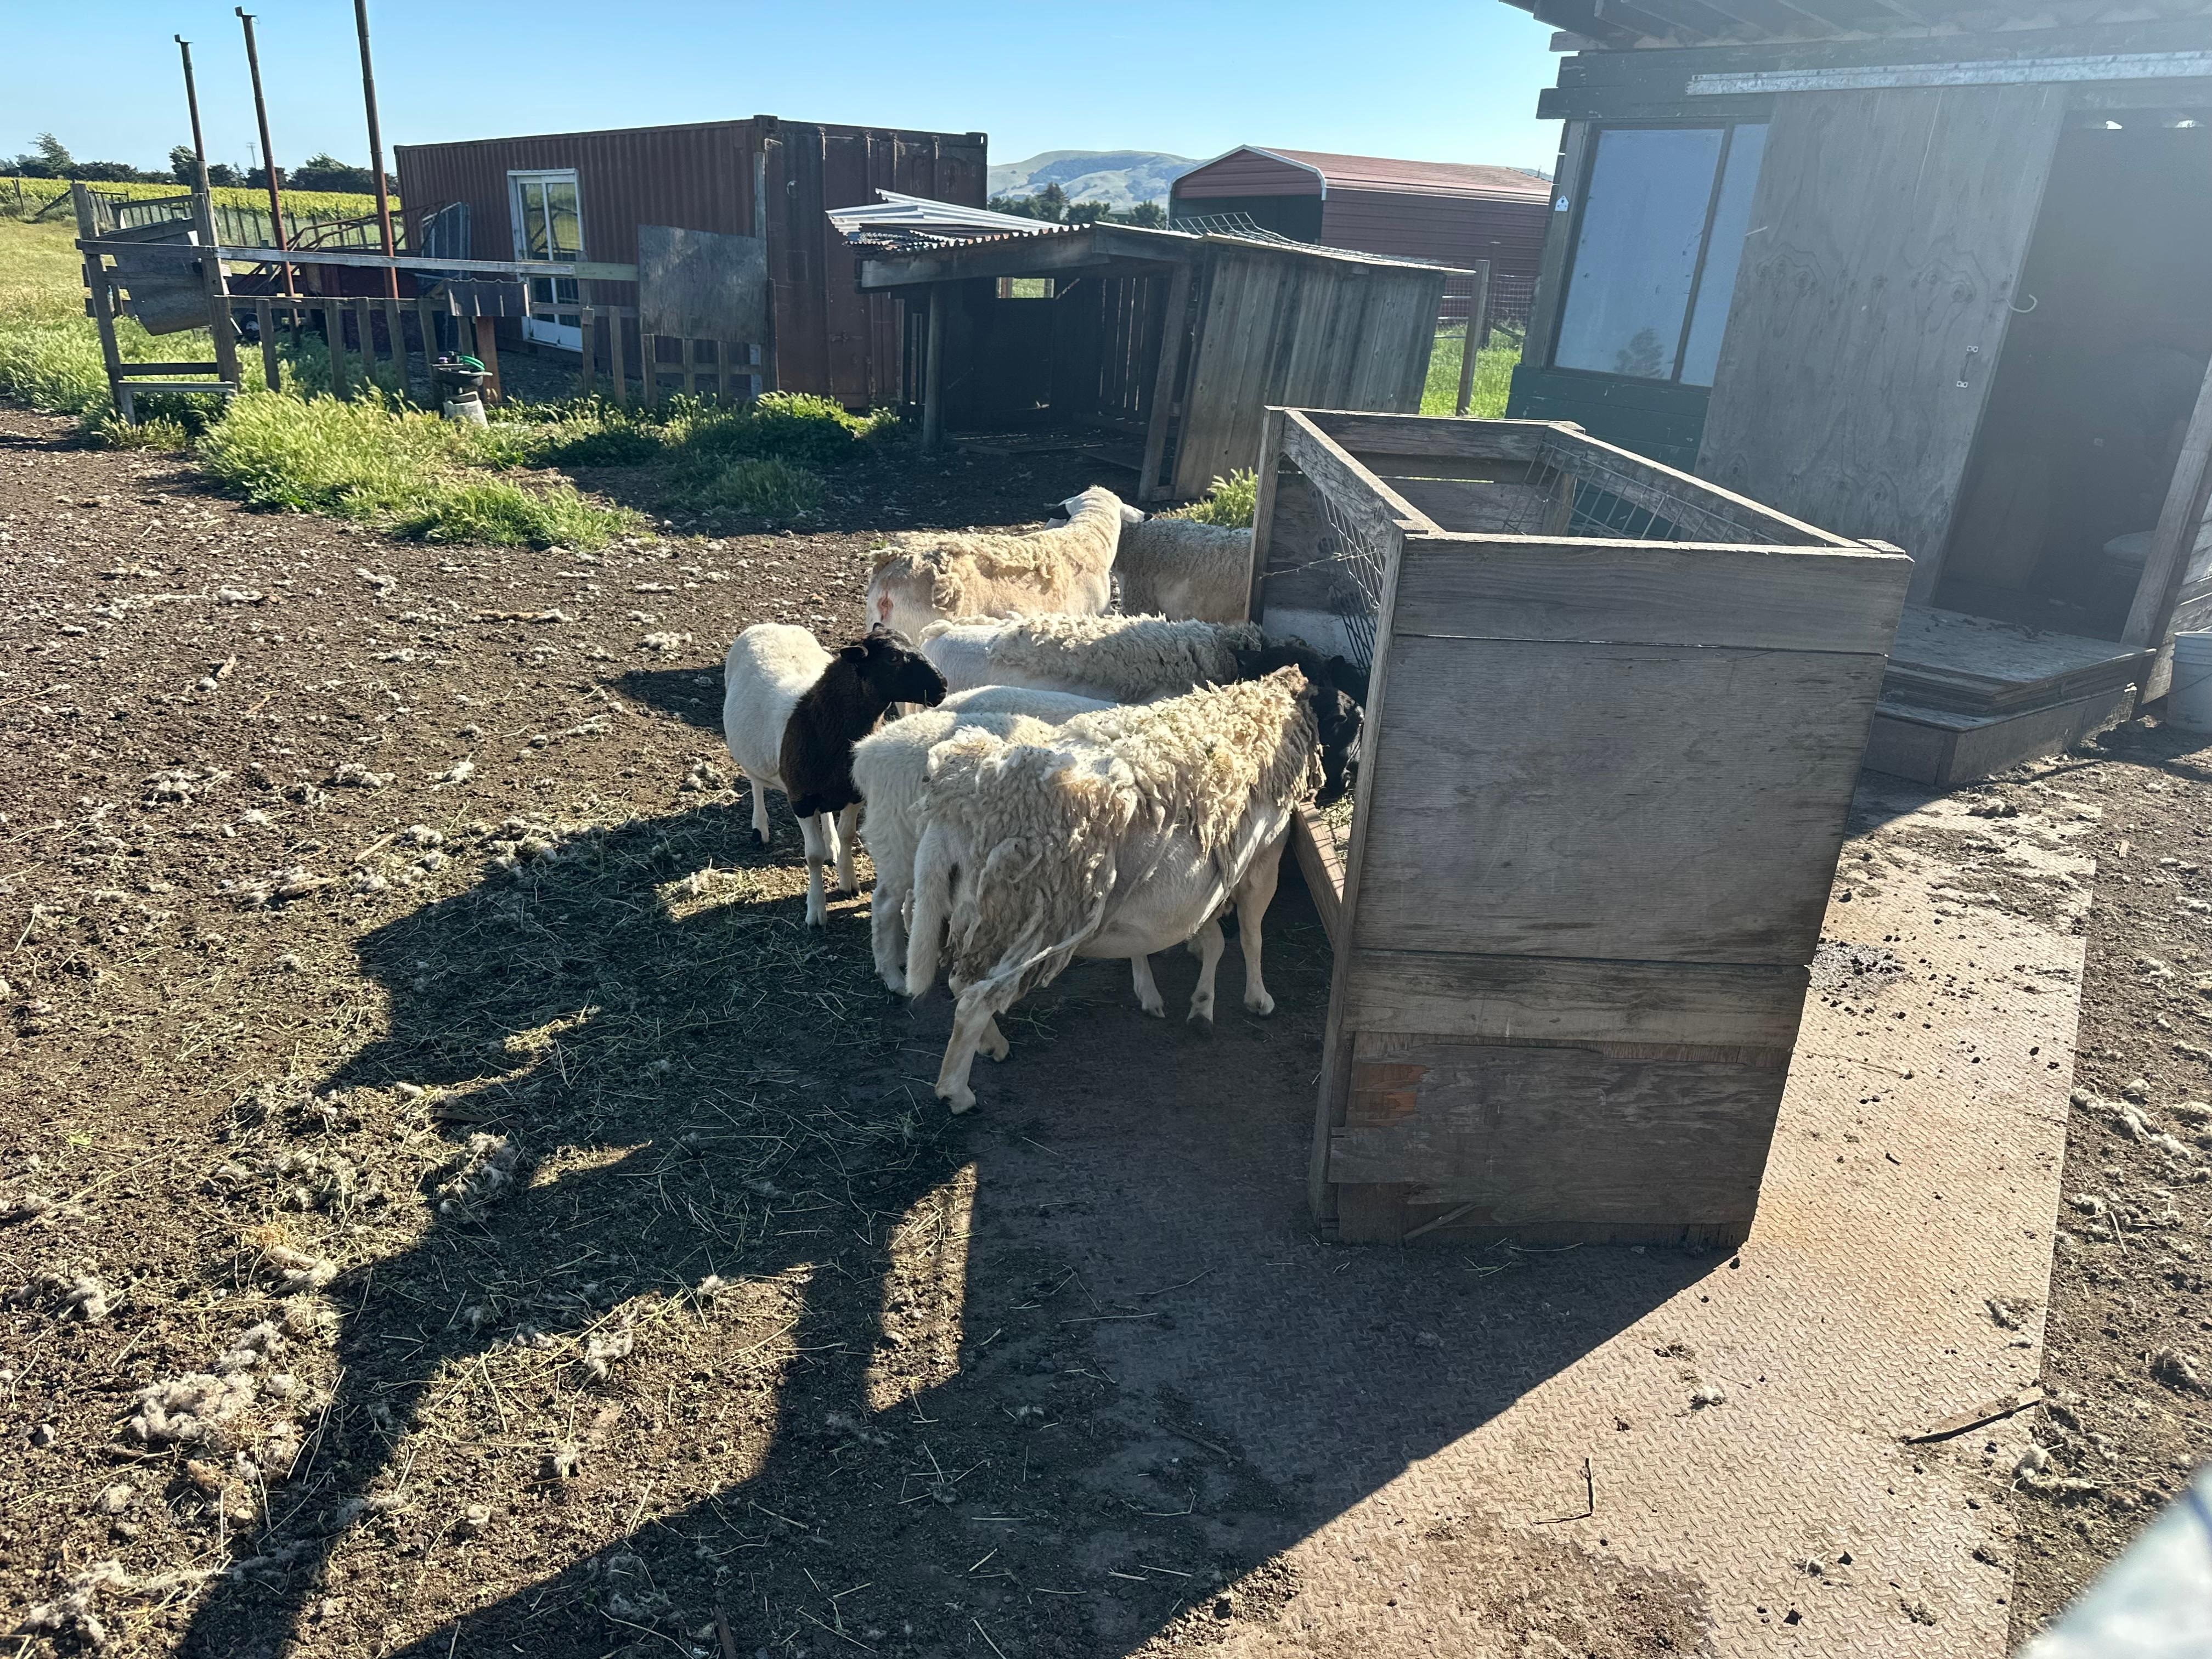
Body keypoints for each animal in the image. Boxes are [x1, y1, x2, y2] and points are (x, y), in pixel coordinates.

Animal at [720, 623, 947, 926]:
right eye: (892, 658)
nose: (943, 686)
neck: (819, 720)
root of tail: (771, 625)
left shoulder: (854, 794)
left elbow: (848, 834)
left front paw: (848, 880)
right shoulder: (801, 800)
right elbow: (813, 856)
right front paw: (816, 911)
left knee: (827, 813)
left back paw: (832, 845)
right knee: (756, 783)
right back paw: (760, 829)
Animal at [903, 668, 1362, 1112]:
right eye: (1352, 724)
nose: (1342, 787)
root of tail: (954, 809)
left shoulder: (1197, 877)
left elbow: (1200, 938)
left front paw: (1184, 996)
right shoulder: (1264, 857)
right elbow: (1252, 936)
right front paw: (1256, 998)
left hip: (982, 914)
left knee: (961, 983)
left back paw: (992, 1044)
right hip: (1034, 916)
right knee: (974, 1000)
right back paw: (956, 1092)